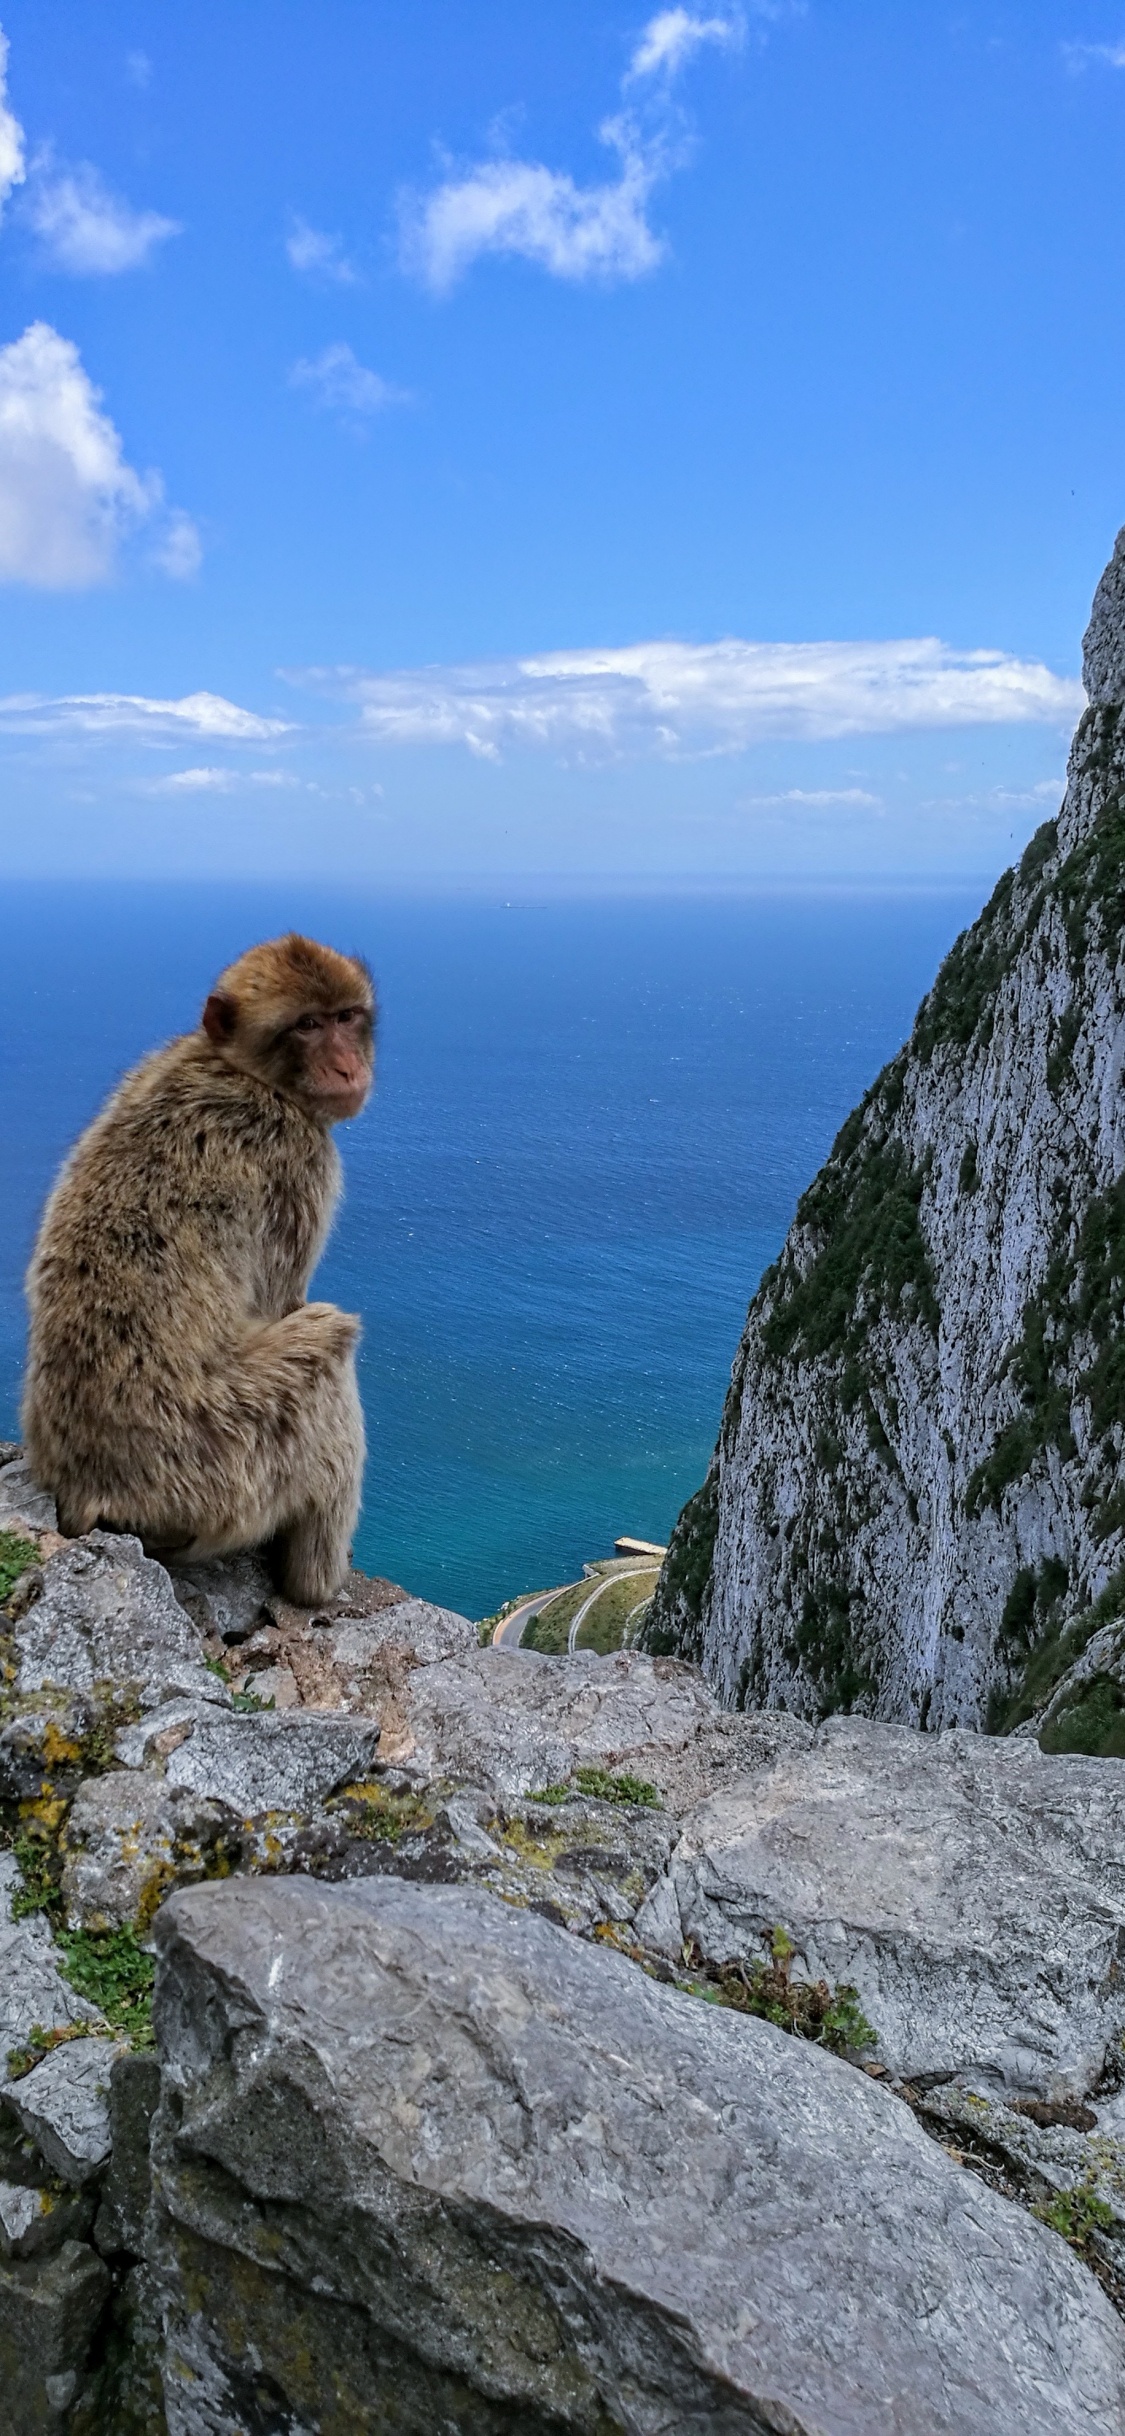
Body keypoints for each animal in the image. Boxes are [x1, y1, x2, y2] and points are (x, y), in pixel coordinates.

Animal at [22, 933, 375, 1605]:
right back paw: (314, 1585)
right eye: (307, 1026)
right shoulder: (299, 1158)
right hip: (224, 1460)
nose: (349, 1068)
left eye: (346, 1017)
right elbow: (285, 1303)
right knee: (328, 1346)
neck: (238, 1068)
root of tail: (89, 1492)